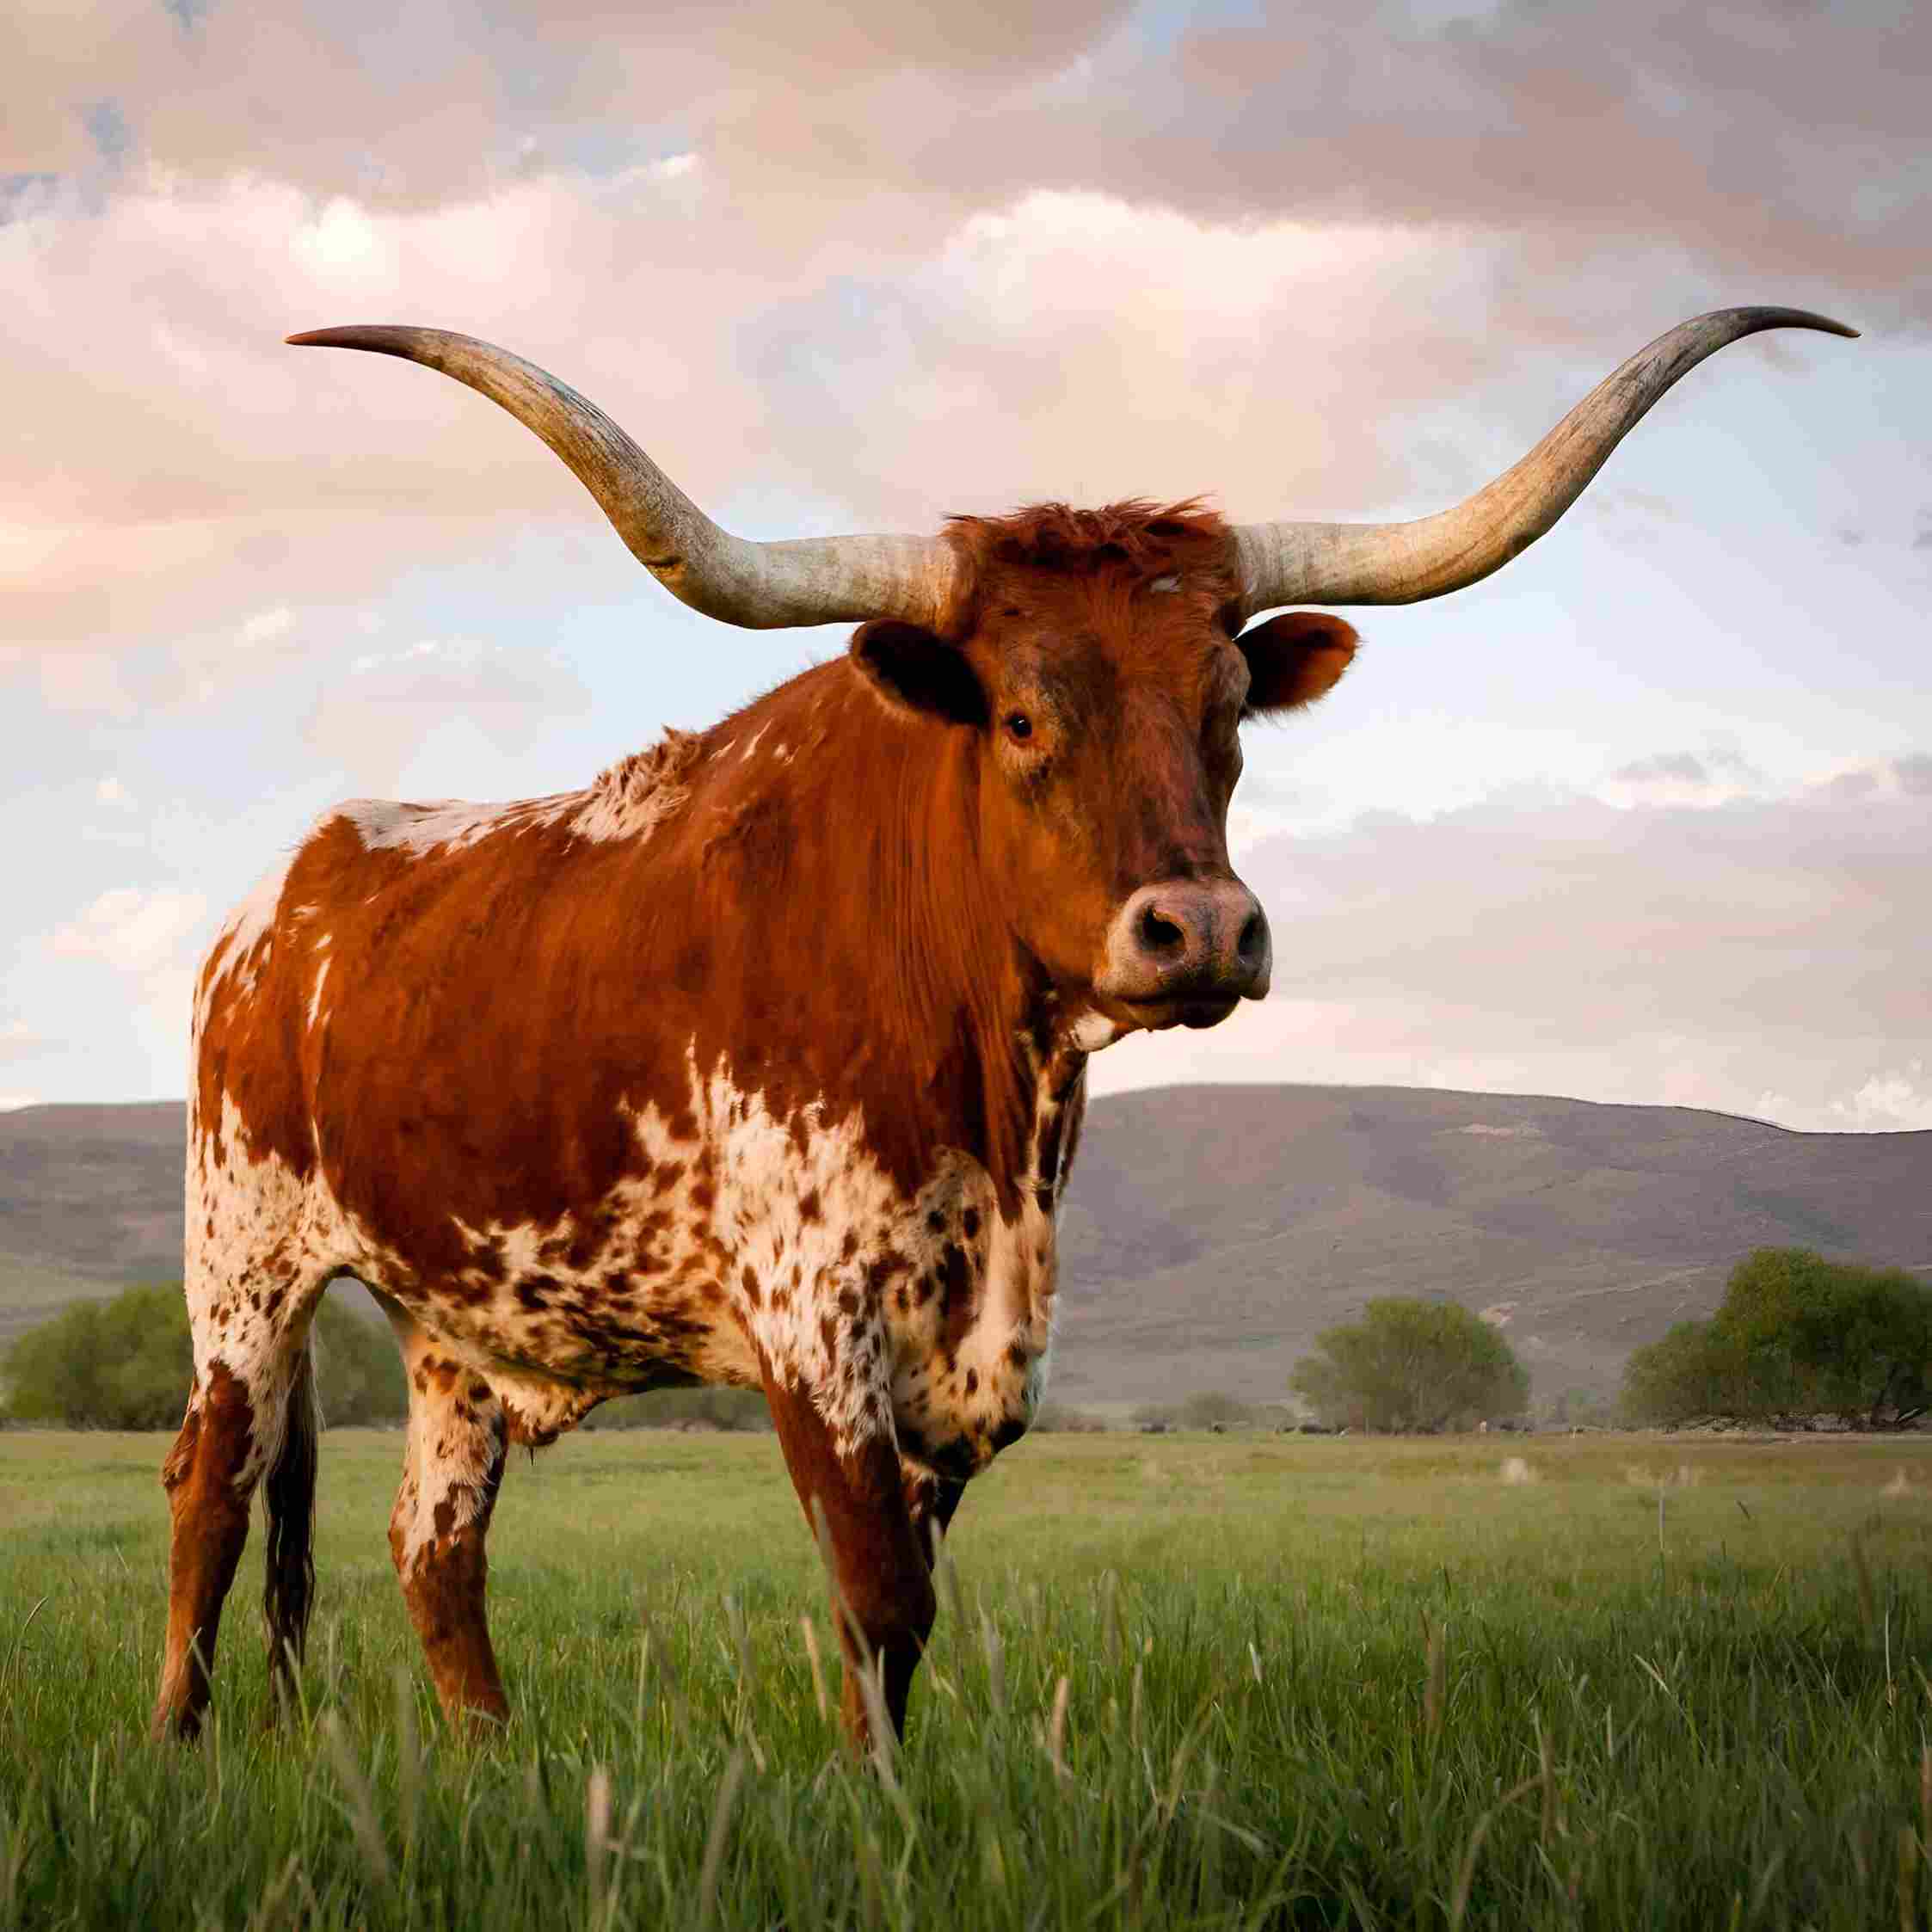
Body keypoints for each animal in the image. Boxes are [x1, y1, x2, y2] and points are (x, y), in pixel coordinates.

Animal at [152, 306, 1853, 1747]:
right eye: (1023, 716)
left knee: (431, 1544)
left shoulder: (972, 1359)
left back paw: (493, 1761)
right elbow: (874, 1597)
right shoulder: (814, 1324)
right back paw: (181, 1746)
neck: (993, 1102)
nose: (1201, 929)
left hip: (453, 1319)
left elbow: (902, 1616)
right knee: (209, 1494)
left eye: (1228, 709)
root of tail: (283, 894)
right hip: (246, 1267)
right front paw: (877, 1815)